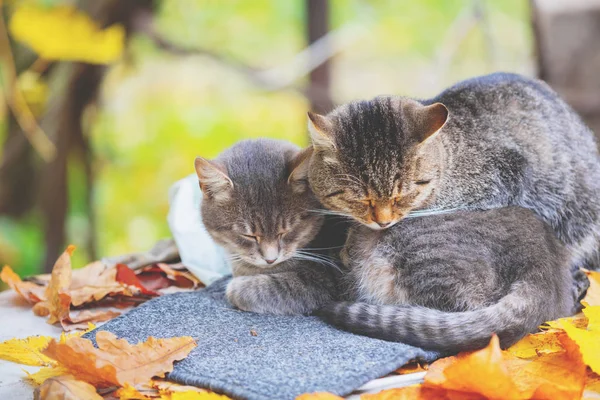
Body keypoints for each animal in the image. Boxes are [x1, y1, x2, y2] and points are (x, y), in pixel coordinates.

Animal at [196, 139, 346, 314]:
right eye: (249, 235)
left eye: (285, 231)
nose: (270, 259)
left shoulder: (320, 282)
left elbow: (250, 290)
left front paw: (235, 286)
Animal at [310, 72, 600, 304]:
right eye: (361, 199)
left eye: (402, 195)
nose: (383, 221)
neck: (449, 160)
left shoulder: (505, 176)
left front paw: (351, 244)